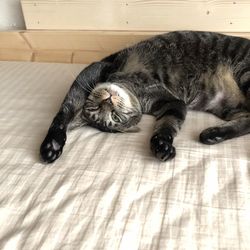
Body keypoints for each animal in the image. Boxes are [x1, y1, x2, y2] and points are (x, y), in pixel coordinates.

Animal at [40, 31, 250, 163]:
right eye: (97, 110)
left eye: (114, 116)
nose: (107, 101)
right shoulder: (172, 103)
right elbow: (63, 114)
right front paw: (53, 144)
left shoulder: (93, 70)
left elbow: (167, 125)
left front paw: (161, 144)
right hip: (228, 106)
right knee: (247, 123)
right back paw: (212, 135)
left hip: (245, 74)